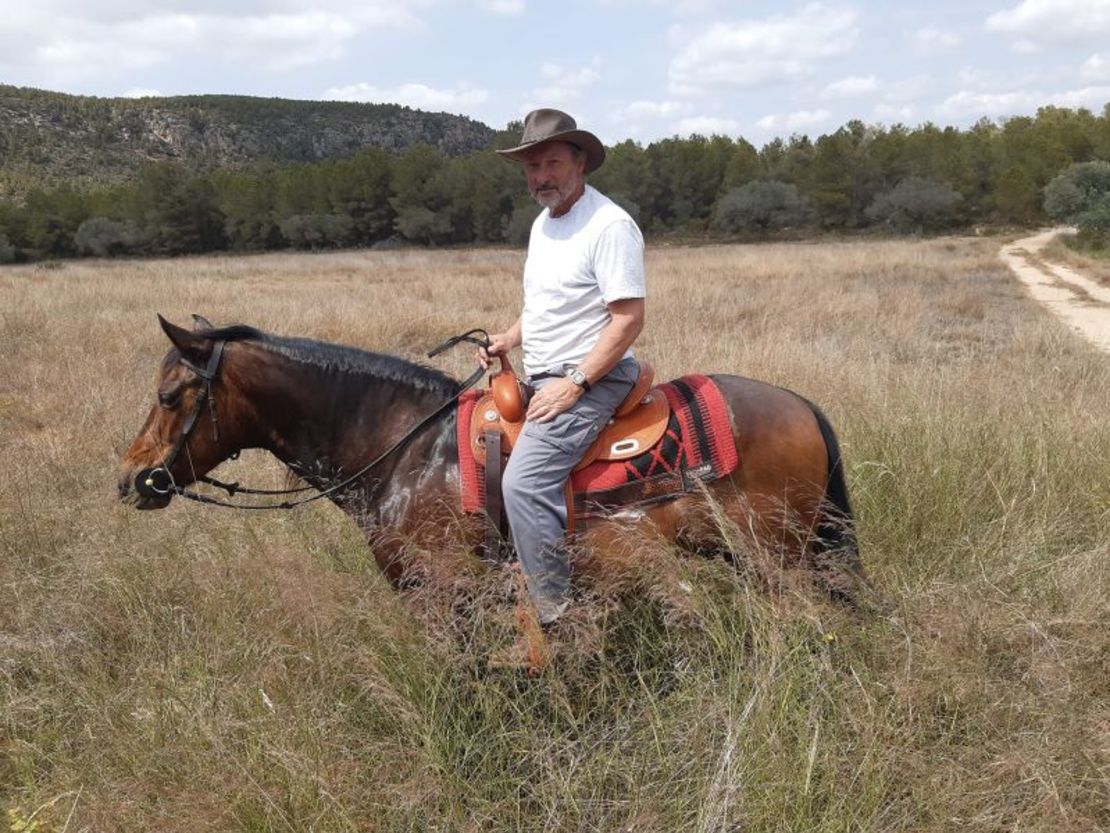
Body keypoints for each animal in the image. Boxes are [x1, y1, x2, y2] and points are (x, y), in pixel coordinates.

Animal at [119, 319, 865, 621]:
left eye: (170, 396)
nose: (131, 479)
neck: (405, 450)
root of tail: (803, 405)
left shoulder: (445, 592)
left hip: (777, 558)